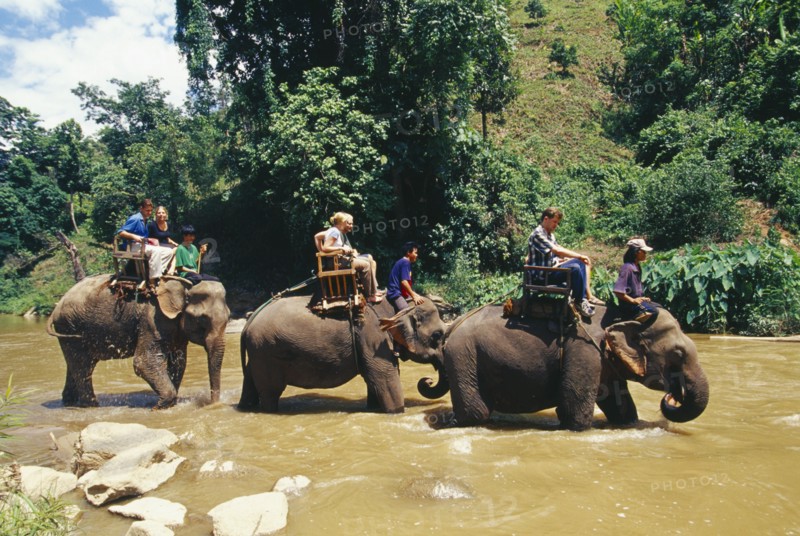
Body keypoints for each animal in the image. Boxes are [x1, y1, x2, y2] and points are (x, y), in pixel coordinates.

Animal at [47, 274, 229, 409]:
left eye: (228, 318)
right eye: (202, 320)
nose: (213, 404)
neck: (183, 283)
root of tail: (56, 307)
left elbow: (178, 362)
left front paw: (168, 403)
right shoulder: (153, 319)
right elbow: (144, 362)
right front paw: (158, 407)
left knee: (77, 365)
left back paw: (69, 403)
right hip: (70, 327)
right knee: (83, 366)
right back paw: (91, 406)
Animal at [237, 296, 446, 413]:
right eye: (437, 335)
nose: (427, 380)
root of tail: (248, 323)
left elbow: (375, 382)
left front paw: (374, 409)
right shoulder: (374, 337)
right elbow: (386, 379)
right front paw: (398, 412)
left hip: (257, 354)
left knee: (250, 385)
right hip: (265, 353)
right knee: (270, 393)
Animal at [412, 304, 709, 430]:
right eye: (678, 353)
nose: (672, 396)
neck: (626, 316)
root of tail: (453, 325)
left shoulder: (603, 361)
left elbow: (619, 404)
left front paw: (629, 424)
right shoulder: (584, 350)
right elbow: (574, 409)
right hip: (463, 357)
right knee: (475, 413)